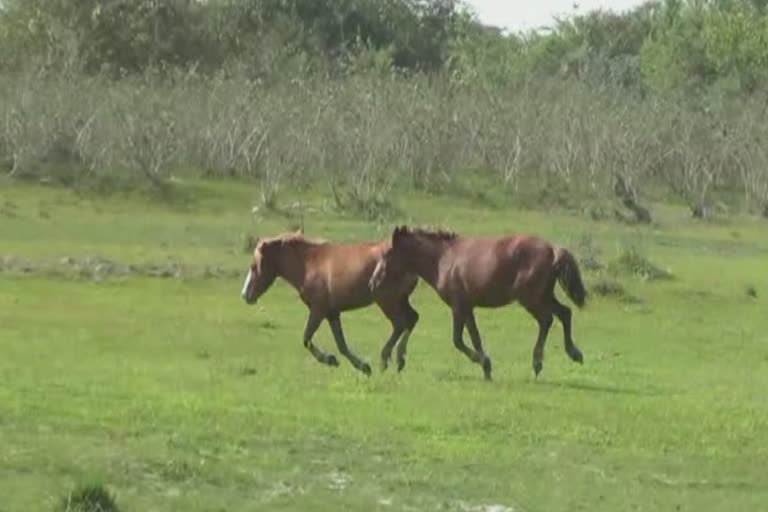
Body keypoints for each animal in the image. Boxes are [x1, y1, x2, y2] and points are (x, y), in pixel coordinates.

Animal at [240, 230, 420, 374]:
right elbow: (341, 345)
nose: (245, 295)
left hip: (387, 301)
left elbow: (307, 338)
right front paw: (363, 367)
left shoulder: (318, 309)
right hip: (400, 300)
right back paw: (399, 359)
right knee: (412, 318)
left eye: (254, 266)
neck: (309, 263)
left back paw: (386, 359)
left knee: (400, 323)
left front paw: (330, 359)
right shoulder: (332, 313)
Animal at [368, 226, 584, 378]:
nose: (373, 282)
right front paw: (486, 367)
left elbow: (459, 340)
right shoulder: (467, 307)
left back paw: (539, 363)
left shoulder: (458, 306)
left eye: (386, 254)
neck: (443, 259)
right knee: (564, 313)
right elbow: (473, 337)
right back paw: (574, 354)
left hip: (531, 298)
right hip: (543, 296)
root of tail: (553, 250)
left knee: (547, 319)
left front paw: (484, 364)